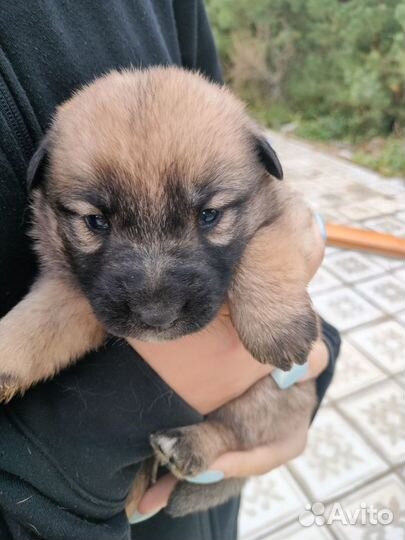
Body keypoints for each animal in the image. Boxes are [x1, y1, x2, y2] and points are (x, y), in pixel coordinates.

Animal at [0, 66, 316, 516]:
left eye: (209, 215)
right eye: (95, 222)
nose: (156, 316)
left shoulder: (291, 214)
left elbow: (265, 249)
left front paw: (276, 328)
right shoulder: (75, 291)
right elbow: (38, 322)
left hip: (276, 397)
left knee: (235, 433)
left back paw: (186, 445)